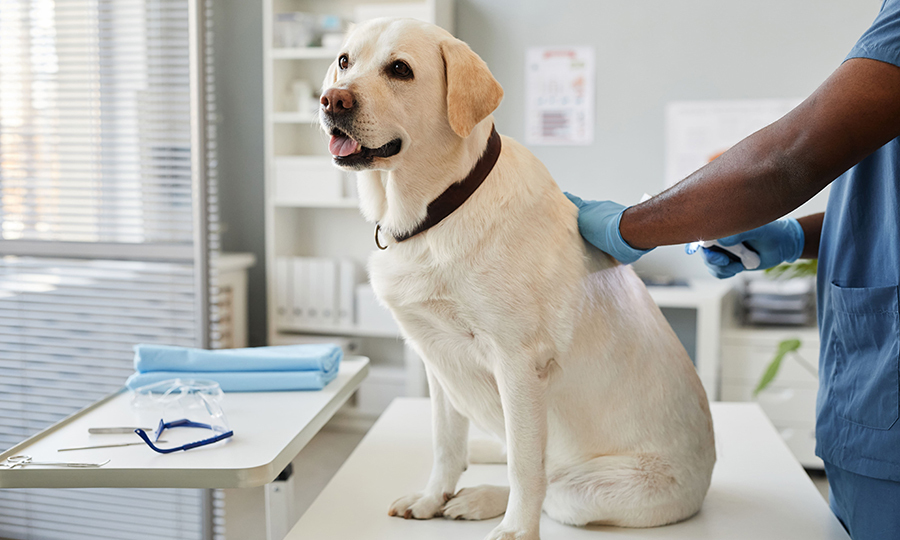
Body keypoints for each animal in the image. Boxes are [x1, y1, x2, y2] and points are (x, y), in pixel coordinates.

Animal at [320, 17, 712, 540]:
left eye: (400, 69)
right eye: (344, 61)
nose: (332, 100)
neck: (436, 212)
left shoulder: (519, 364)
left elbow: (527, 468)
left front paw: (515, 531)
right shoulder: (437, 360)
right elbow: (445, 444)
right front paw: (431, 499)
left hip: (588, 491)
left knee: (550, 482)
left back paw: (483, 498)